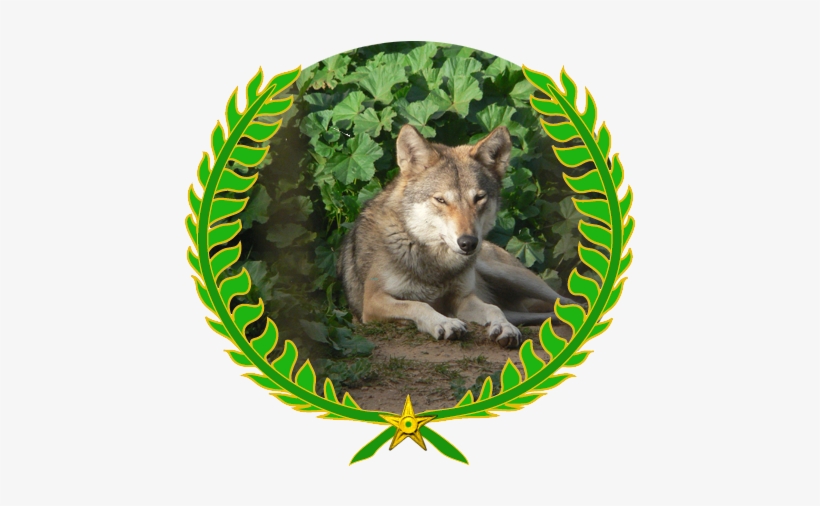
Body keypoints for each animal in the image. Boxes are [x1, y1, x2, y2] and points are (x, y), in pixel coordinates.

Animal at [336, 124, 572, 348]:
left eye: (479, 198)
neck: (436, 261)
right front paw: (444, 323)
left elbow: (493, 309)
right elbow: (418, 305)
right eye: (440, 200)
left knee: (565, 301)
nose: (468, 243)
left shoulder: (462, 299)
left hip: (513, 276)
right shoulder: (373, 302)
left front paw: (504, 328)